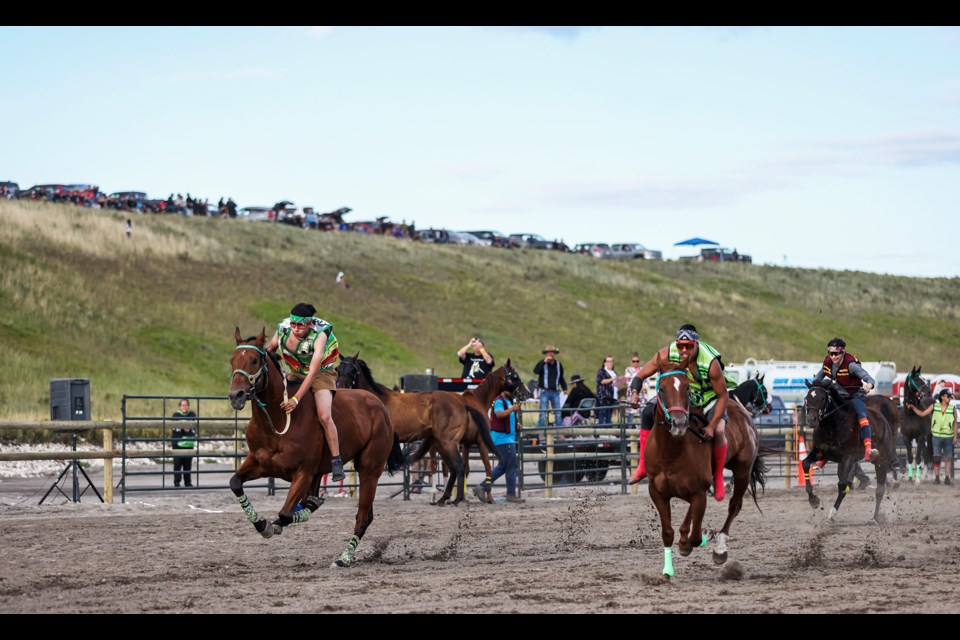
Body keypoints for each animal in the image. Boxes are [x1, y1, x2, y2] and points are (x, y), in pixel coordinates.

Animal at [228, 328, 404, 568]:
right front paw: (263, 525)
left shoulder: (304, 472)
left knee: (362, 517)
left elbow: (285, 513)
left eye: (254, 360)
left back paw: (343, 558)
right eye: (232, 360)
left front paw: (276, 523)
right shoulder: (259, 463)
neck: (277, 420)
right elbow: (235, 483)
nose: (235, 395)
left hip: (370, 470)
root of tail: (381, 407)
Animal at [334, 356, 496, 504]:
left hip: (448, 443)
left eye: (353, 371)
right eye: (337, 369)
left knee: (459, 466)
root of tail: (462, 403)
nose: (340, 388)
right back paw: (443, 498)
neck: (375, 401)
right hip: (441, 444)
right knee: (453, 468)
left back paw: (457, 499)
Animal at [640, 356, 768, 580]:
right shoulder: (657, 493)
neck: (671, 452)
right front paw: (667, 571)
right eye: (661, 389)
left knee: (734, 506)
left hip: (742, 471)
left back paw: (720, 548)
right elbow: (668, 533)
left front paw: (705, 538)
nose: (679, 423)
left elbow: (696, 537)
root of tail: (744, 415)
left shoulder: (699, 492)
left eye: (687, 388)